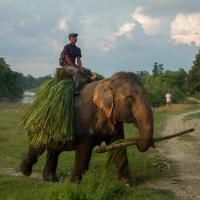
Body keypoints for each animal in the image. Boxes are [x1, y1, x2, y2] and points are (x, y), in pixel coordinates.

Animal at [20, 70, 154, 186]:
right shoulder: (84, 124)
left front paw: (129, 183)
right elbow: (84, 151)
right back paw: (25, 172)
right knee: (37, 146)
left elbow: (118, 144)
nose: (138, 143)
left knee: (54, 150)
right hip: (41, 124)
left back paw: (50, 179)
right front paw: (74, 184)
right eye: (129, 98)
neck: (106, 82)